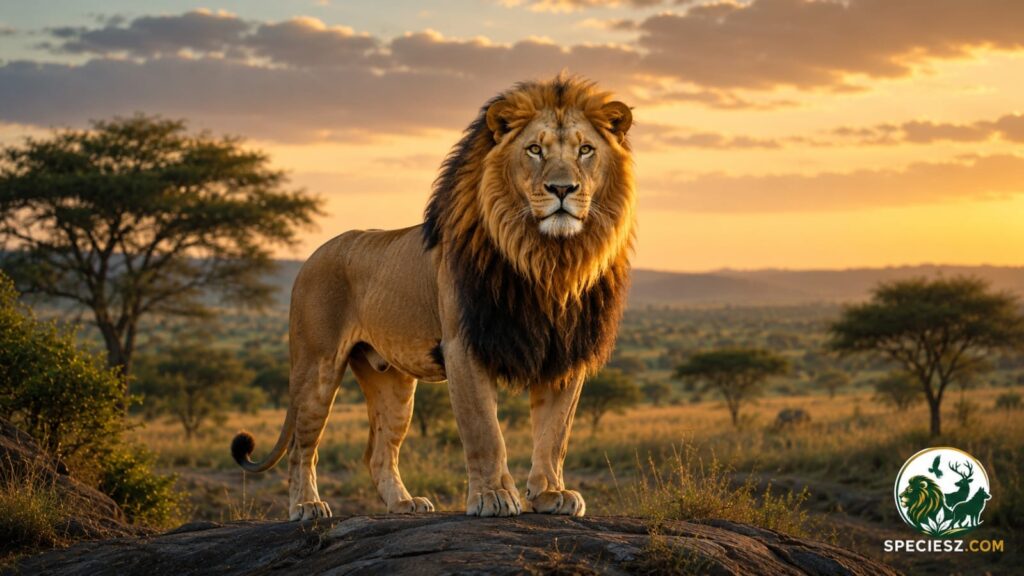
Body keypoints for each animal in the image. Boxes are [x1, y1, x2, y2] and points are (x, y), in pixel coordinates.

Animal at [231, 74, 635, 520]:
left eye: (585, 150)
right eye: (534, 149)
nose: (562, 188)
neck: (549, 259)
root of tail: (313, 256)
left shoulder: (563, 353)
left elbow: (554, 433)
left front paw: (550, 493)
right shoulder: (463, 347)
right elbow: (485, 431)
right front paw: (494, 496)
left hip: (391, 381)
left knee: (378, 453)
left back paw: (405, 504)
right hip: (316, 367)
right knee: (303, 448)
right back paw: (307, 505)